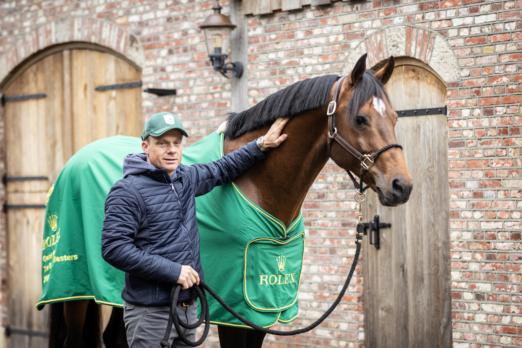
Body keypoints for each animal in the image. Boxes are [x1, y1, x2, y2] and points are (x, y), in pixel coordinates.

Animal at [42, 53, 410, 346]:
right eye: (361, 118)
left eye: (394, 118)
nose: (401, 185)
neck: (258, 185)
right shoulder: (235, 311)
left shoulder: (259, 312)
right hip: (73, 293)